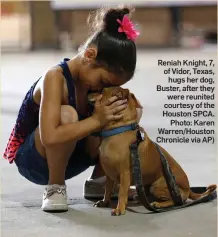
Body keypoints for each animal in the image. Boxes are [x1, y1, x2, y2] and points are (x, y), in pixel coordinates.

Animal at [88, 88, 216, 216]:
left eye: (102, 91)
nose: (88, 92)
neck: (117, 130)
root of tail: (189, 189)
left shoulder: (124, 173)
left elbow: (122, 193)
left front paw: (119, 209)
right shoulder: (109, 175)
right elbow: (107, 190)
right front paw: (104, 202)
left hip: (157, 186)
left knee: (177, 201)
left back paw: (159, 204)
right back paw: (140, 198)